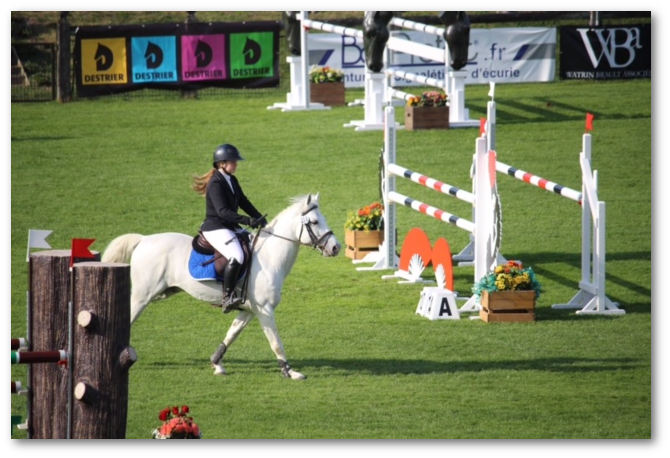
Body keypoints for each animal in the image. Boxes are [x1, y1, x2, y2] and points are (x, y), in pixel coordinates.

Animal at [101, 193, 341, 380]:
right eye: (314, 222)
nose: (336, 247)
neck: (268, 258)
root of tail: (143, 239)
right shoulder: (265, 310)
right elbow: (276, 342)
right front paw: (290, 372)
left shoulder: (249, 311)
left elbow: (231, 334)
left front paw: (216, 364)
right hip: (142, 296)